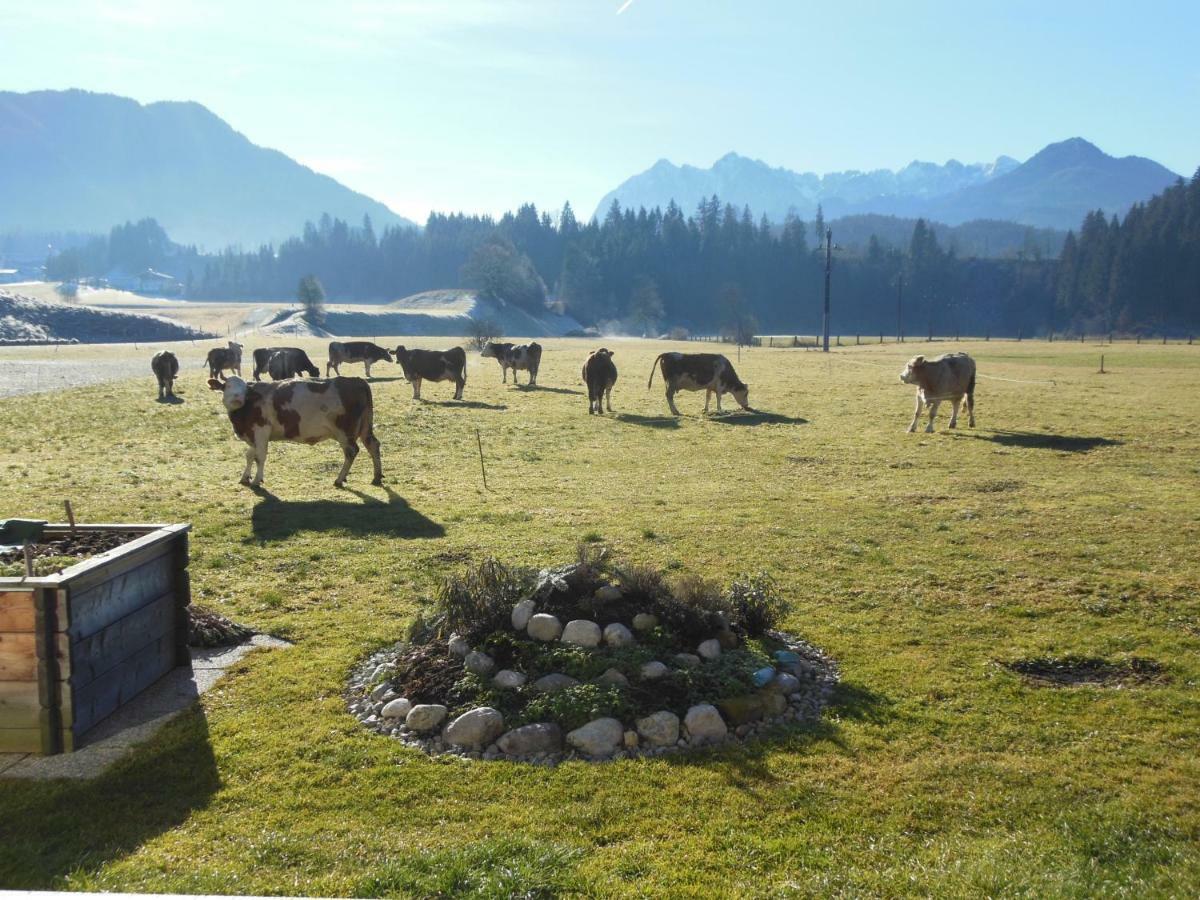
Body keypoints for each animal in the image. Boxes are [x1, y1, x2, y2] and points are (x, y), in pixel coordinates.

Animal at [206, 374, 381, 489]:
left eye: (245, 390)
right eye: (227, 386)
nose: (237, 397)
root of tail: (357, 380)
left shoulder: (261, 430)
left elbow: (259, 457)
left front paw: (256, 480)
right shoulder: (252, 435)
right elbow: (249, 455)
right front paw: (245, 477)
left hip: (344, 432)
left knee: (352, 451)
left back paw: (339, 479)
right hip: (365, 427)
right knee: (373, 445)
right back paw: (377, 477)